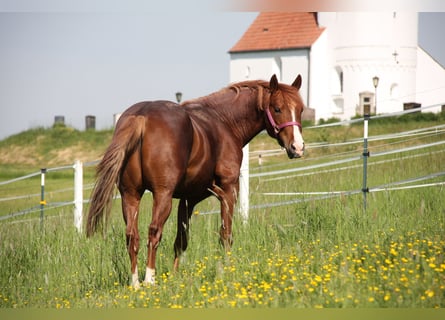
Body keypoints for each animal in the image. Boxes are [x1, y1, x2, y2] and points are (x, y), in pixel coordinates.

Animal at [85, 74, 304, 288]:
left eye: (300, 109)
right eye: (277, 109)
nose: (298, 147)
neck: (223, 122)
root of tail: (141, 117)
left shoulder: (187, 199)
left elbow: (181, 240)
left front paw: (175, 276)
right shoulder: (228, 190)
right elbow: (226, 234)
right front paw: (227, 268)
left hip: (130, 196)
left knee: (132, 236)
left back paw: (136, 283)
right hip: (162, 195)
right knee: (154, 231)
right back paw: (149, 280)